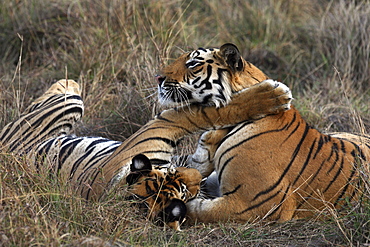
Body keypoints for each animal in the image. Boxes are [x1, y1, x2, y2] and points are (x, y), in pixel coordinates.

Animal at [1, 71, 294, 230]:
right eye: (184, 192)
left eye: (174, 173)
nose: (198, 183)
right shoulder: (162, 126)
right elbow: (200, 113)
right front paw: (272, 96)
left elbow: (202, 149)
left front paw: (212, 140)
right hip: (66, 106)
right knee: (63, 90)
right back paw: (68, 82)